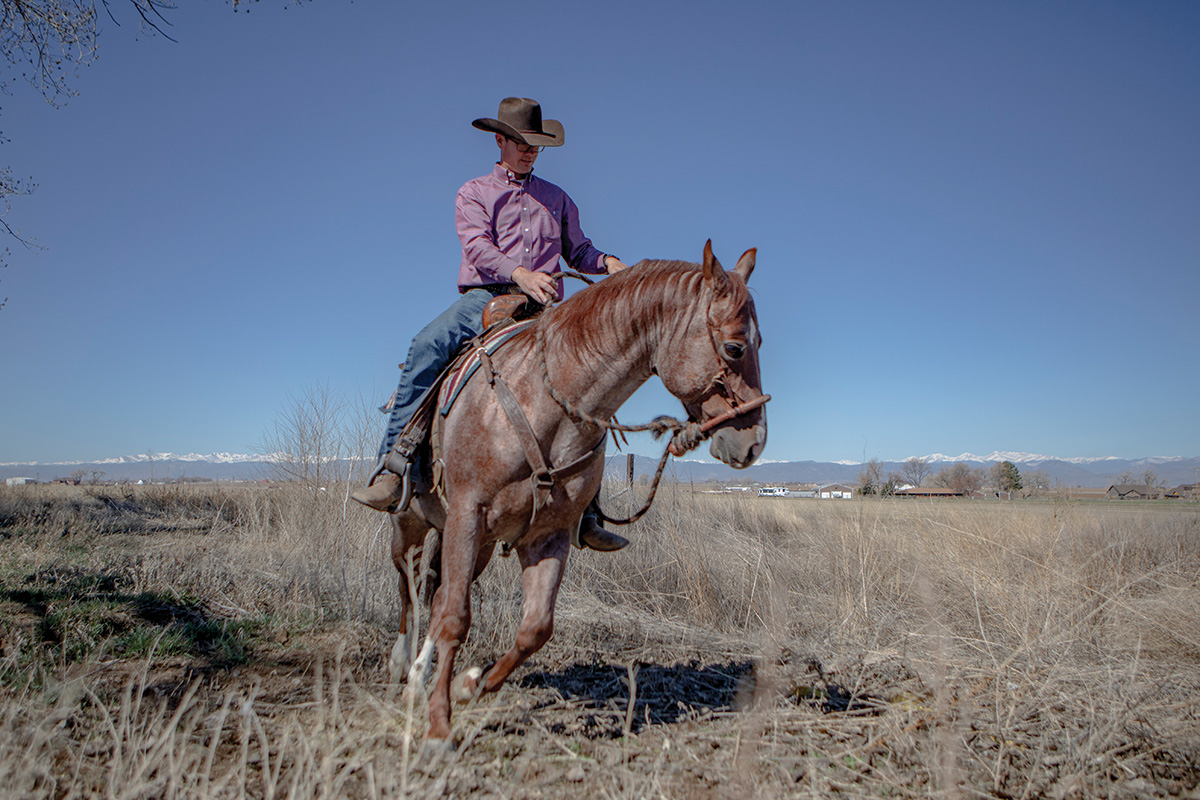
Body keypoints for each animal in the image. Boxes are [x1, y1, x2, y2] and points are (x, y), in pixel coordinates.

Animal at [393, 241, 768, 748]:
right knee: (410, 586)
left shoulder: (546, 535)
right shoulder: (468, 513)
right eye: (734, 346)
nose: (754, 444)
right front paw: (438, 726)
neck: (546, 399)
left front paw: (472, 684)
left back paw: (421, 675)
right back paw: (404, 666)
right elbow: (455, 617)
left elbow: (534, 628)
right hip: (411, 522)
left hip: (477, 543)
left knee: (434, 592)